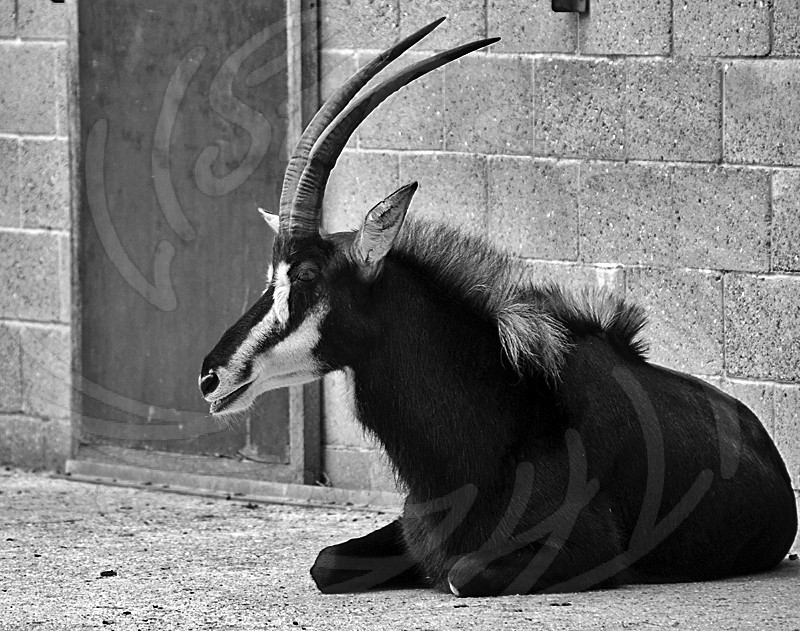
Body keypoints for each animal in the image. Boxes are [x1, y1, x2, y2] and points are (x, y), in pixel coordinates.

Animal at [199, 18, 797, 596]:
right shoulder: (409, 532)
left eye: (305, 275)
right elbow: (324, 563)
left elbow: (459, 574)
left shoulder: (587, 551)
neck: (496, 421)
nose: (210, 376)